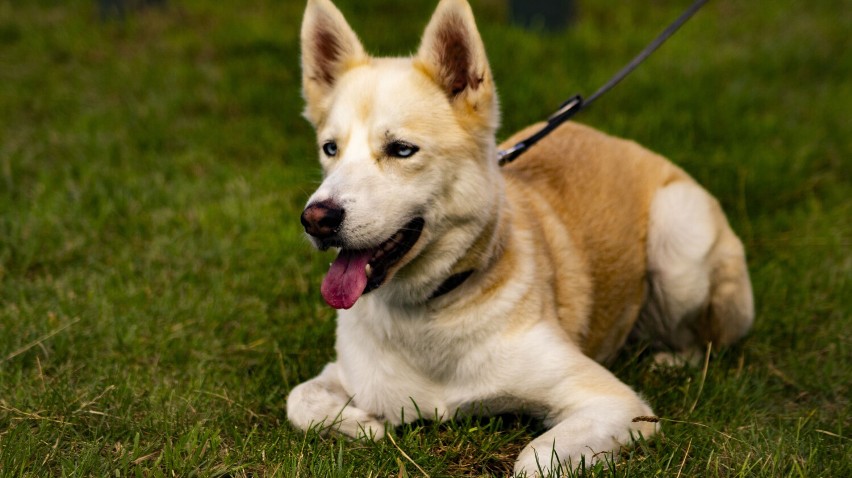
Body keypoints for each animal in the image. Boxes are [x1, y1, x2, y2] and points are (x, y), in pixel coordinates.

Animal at [290, 0, 756, 474]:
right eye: (330, 149)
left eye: (402, 150)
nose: (316, 219)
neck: (430, 312)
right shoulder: (343, 374)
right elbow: (300, 400)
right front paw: (364, 424)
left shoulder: (615, 403)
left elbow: (534, 460)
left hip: (679, 240)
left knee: (705, 340)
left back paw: (670, 360)